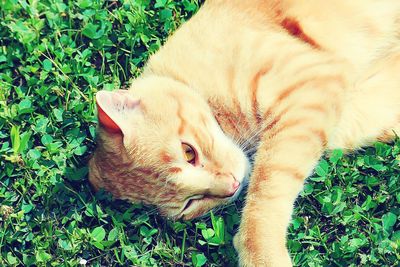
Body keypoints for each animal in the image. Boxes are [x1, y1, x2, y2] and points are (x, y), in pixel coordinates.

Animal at [90, 1, 400, 266]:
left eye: (188, 152)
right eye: (189, 204)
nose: (231, 185)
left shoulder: (308, 88)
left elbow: (266, 191)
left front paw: (262, 254)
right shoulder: (353, 106)